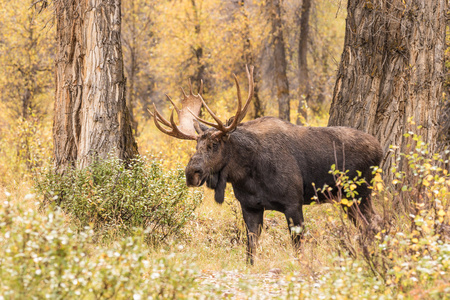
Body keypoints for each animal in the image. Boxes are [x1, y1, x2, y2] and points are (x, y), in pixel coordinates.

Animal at [149, 66, 382, 264]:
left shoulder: (293, 203)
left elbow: (298, 248)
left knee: (373, 223)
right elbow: (250, 249)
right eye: (196, 145)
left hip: (360, 194)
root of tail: (380, 149)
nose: (191, 173)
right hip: (349, 200)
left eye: (214, 144)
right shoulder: (250, 206)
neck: (247, 175)